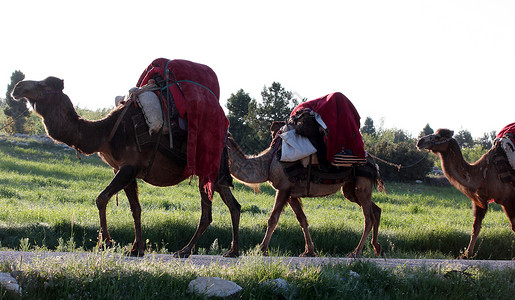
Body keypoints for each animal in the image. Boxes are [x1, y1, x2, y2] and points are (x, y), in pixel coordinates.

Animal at [11, 75, 242, 258]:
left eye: (42, 84)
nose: (18, 86)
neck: (105, 133)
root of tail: (226, 139)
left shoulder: (128, 167)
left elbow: (101, 198)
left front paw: (106, 243)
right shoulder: (125, 170)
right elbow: (135, 209)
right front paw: (135, 249)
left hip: (207, 170)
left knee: (207, 213)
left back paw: (184, 251)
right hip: (219, 177)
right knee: (234, 206)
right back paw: (232, 251)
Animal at [225, 122, 382, 258]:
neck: (267, 165)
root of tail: (374, 162)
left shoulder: (283, 188)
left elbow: (273, 219)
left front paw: (261, 249)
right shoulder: (291, 193)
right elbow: (302, 219)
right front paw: (309, 251)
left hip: (363, 183)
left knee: (368, 217)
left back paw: (356, 252)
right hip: (350, 189)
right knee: (375, 209)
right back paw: (377, 247)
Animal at [420, 127, 515, 258]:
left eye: (438, 136)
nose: (420, 141)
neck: (482, 173)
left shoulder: (507, 199)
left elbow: (514, 226)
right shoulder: (480, 200)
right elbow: (476, 227)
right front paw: (466, 255)